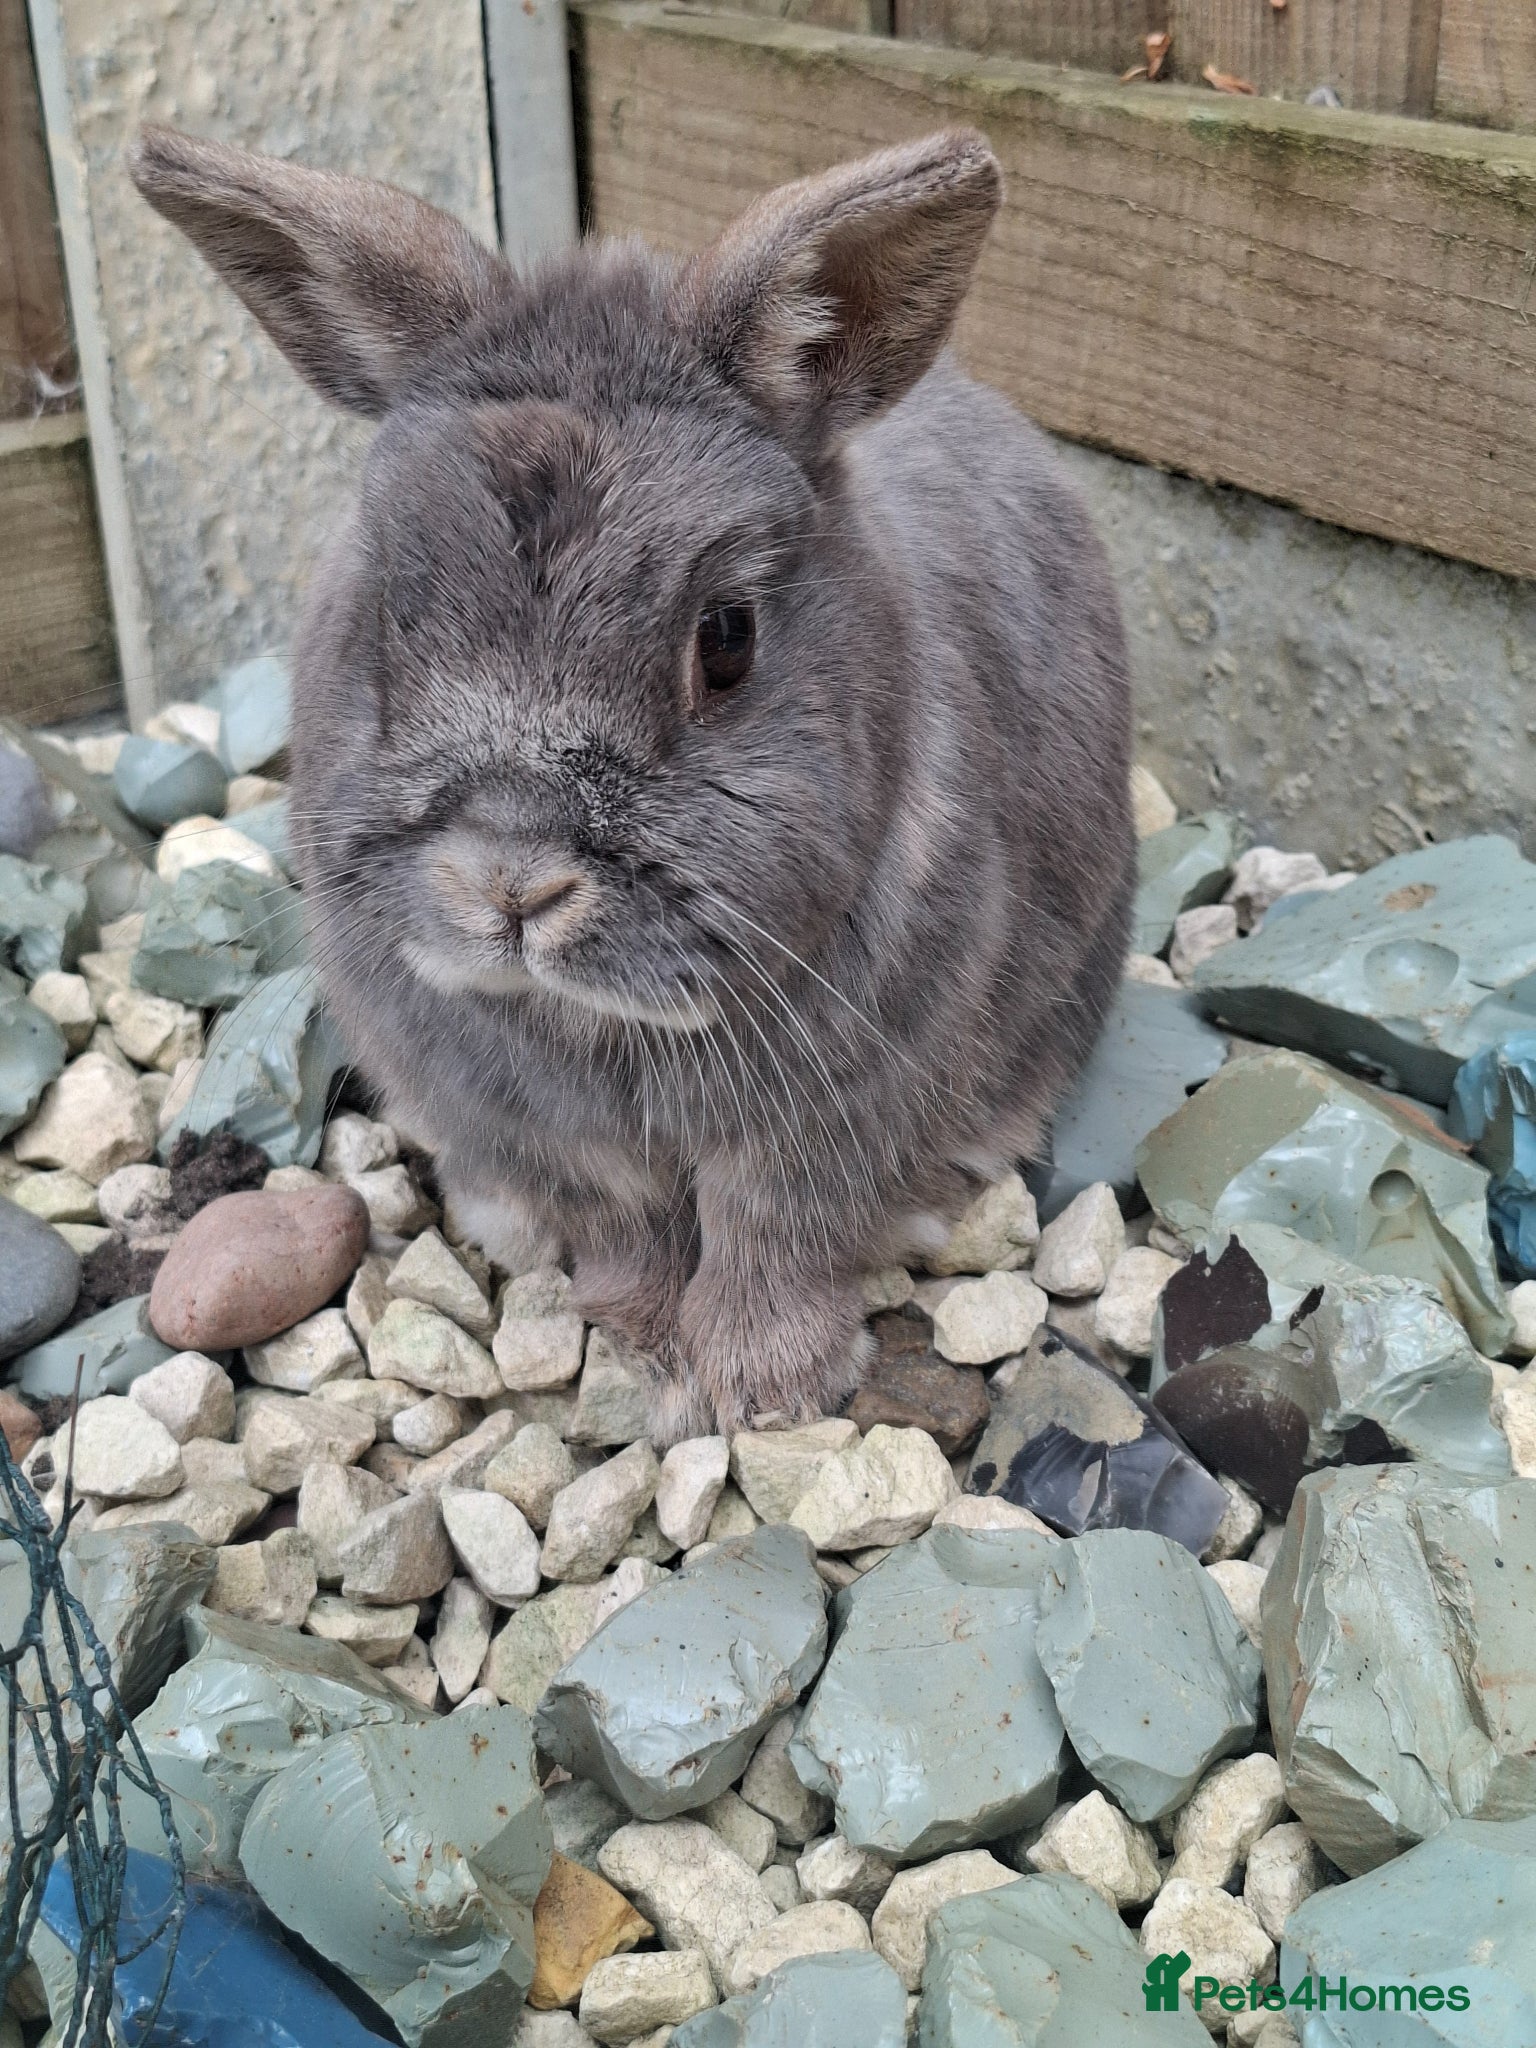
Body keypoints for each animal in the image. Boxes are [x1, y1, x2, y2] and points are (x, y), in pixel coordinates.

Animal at [130, 123, 1136, 1441]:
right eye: (388, 614)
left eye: (728, 636)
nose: (510, 885)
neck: (600, 1027)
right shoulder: (560, 1148)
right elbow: (629, 1234)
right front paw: (644, 1348)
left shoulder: (836, 1117)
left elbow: (777, 1232)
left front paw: (764, 1392)